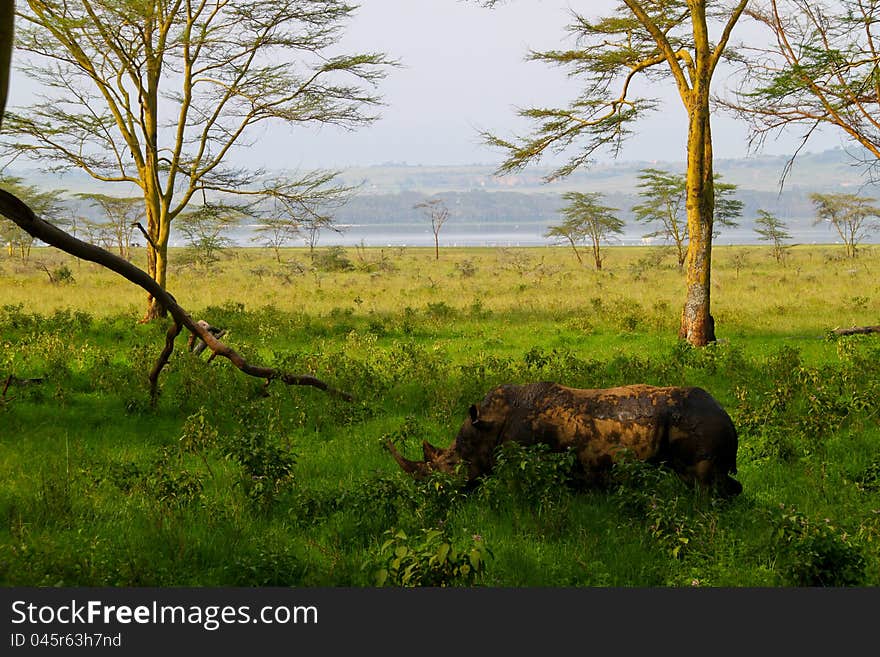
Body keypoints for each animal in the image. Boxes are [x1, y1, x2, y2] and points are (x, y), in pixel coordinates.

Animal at [388, 382, 740, 494]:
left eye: (451, 465)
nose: (431, 490)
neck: (487, 425)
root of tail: (724, 412)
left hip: (700, 426)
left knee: (703, 483)